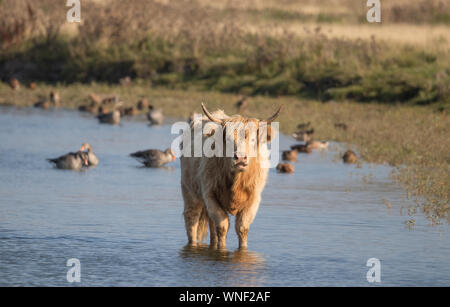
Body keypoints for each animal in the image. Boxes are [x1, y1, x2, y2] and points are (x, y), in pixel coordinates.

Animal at [180, 103, 282, 250]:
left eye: (253, 139)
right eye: (228, 140)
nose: (240, 158)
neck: (236, 183)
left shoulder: (253, 199)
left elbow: (242, 228)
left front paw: (243, 250)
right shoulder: (210, 196)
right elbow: (223, 227)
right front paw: (222, 250)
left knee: (212, 226)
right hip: (190, 192)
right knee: (192, 220)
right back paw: (192, 245)